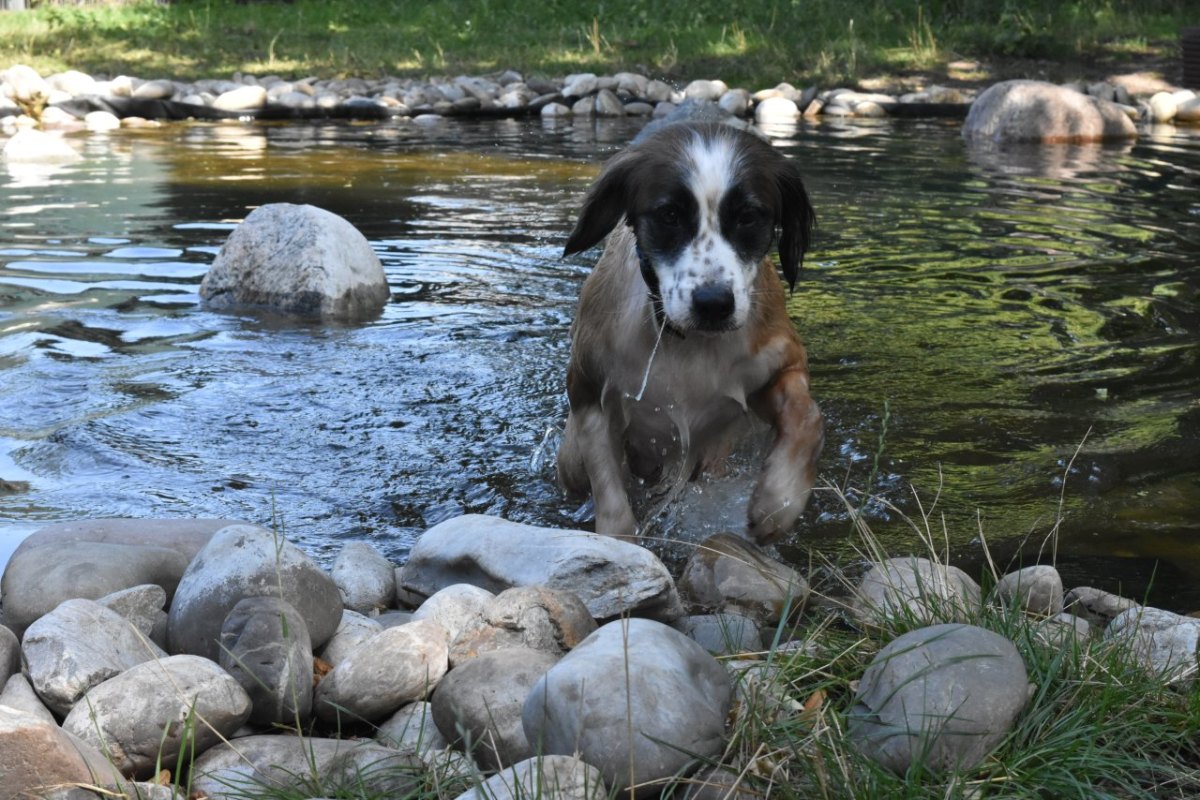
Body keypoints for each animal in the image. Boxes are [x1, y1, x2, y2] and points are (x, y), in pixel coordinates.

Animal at [554, 118, 825, 544]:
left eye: (749, 216)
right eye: (669, 215)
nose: (714, 304)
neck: (687, 342)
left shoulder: (779, 364)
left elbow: (806, 416)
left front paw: (777, 501)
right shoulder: (589, 391)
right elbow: (610, 496)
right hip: (572, 460)